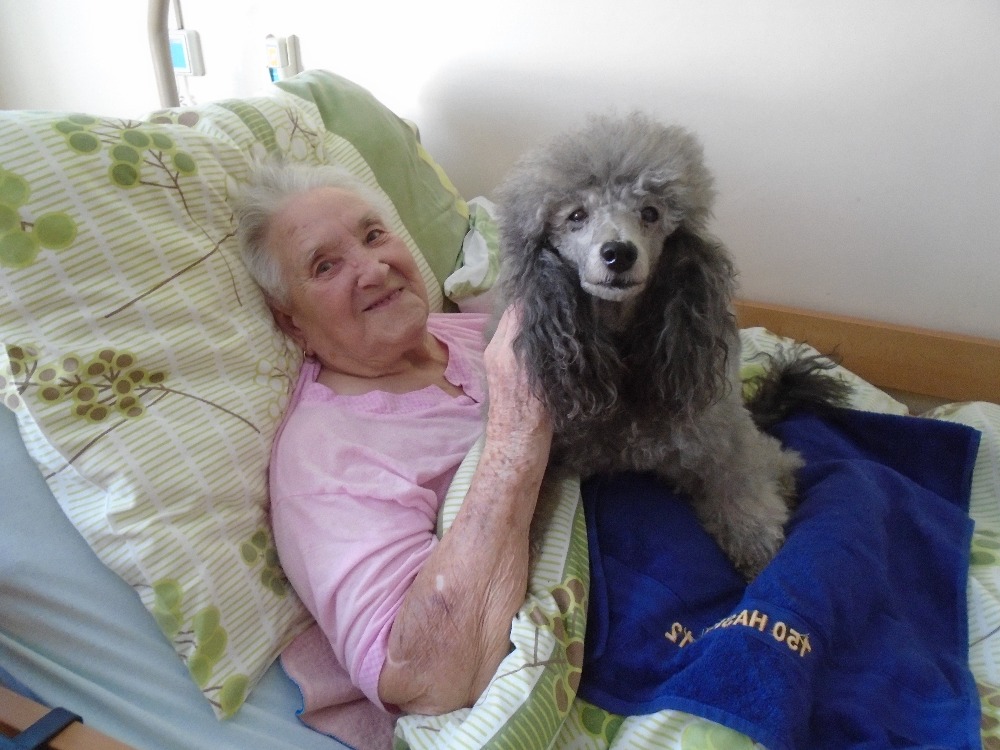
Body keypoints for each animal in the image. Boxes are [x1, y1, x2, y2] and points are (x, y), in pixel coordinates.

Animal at [494, 112, 849, 580]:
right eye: (576, 216)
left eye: (650, 213)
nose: (618, 253)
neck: (618, 342)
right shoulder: (551, 450)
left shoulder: (720, 438)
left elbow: (742, 491)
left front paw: (756, 551)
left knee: (774, 455)